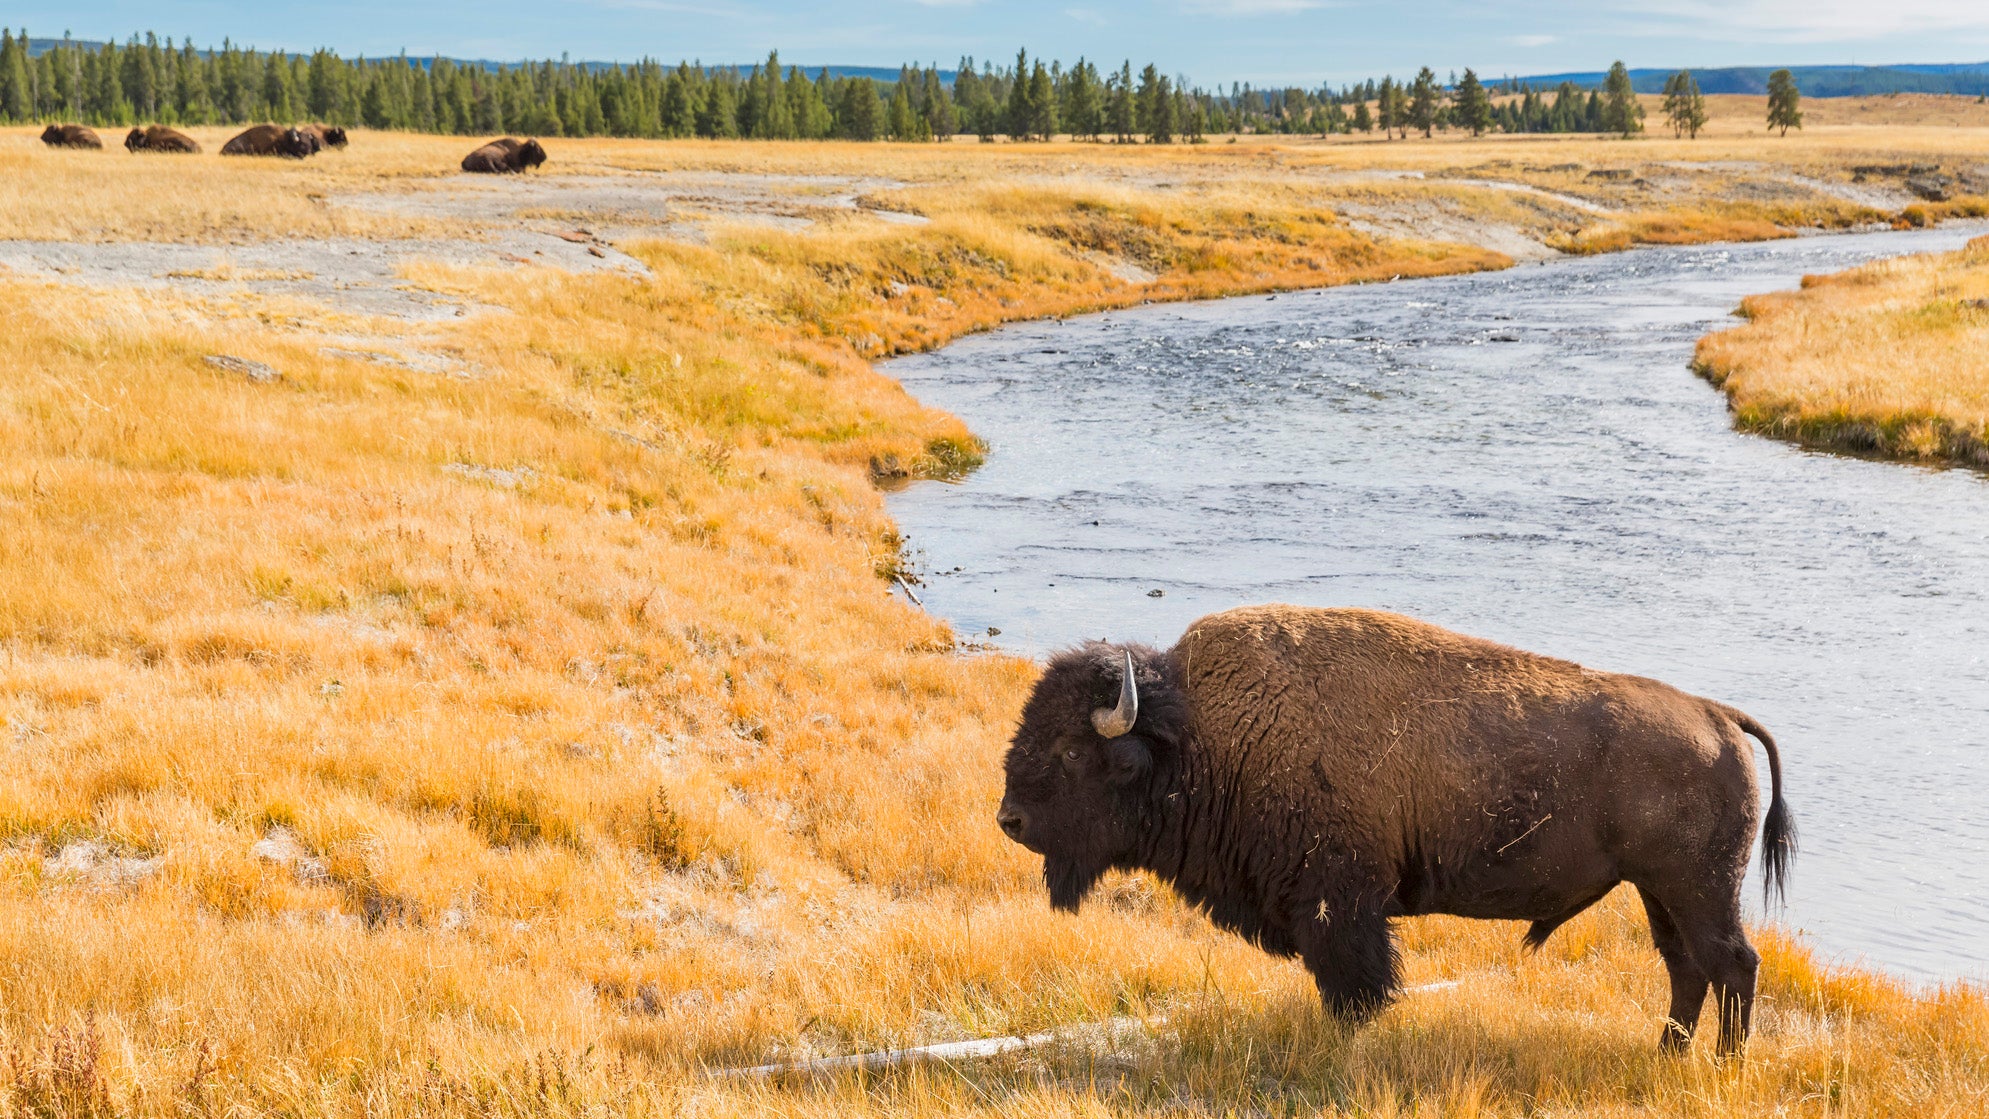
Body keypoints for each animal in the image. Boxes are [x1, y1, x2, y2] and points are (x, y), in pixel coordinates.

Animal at [1002, 608, 1798, 1057]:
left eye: (1071, 750)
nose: (1009, 819)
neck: (1203, 734)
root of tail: (1716, 715)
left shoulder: (1338, 907)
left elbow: (1356, 987)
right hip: (1658, 891)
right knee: (1686, 967)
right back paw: (1669, 1054)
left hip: (1696, 888)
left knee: (1731, 964)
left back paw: (1724, 1064)